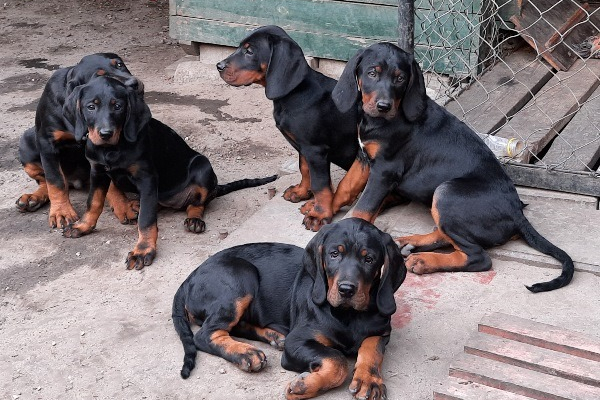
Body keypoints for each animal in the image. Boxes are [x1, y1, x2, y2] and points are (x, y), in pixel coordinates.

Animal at [16, 53, 139, 228]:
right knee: (47, 180)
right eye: (98, 77)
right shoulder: (47, 144)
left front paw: (123, 206)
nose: (134, 84)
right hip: (26, 143)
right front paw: (62, 212)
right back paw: (32, 198)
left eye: (120, 65)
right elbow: (55, 180)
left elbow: (111, 182)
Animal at [61, 74, 276, 268]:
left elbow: (146, 220)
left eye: (118, 106)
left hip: (203, 167)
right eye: (91, 106)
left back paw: (194, 220)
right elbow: (93, 202)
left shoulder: (147, 178)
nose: (105, 134)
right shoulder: (97, 172)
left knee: (197, 202)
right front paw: (83, 226)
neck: (111, 149)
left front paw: (143, 250)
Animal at [173, 217, 408, 398]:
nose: (347, 290)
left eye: (369, 259)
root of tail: (190, 277)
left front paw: (369, 380)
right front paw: (304, 386)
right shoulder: (297, 341)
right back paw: (246, 353)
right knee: (206, 334)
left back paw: (273, 337)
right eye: (334, 254)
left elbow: (372, 350)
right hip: (241, 276)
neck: (349, 315)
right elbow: (337, 360)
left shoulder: (381, 332)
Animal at [217, 25, 366, 231]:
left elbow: (321, 185)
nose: (218, 66)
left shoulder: (315, 150)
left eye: (250, 51)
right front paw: (302, 192)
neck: (294, 94)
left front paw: (319, 214)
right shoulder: (303, 146)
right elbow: (304, 169)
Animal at [330, 43, 576, 292]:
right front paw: (325, 213)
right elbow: (346, 187)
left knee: (478, 256)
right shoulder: (364, 157)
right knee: (446, 236)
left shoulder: (384, 170)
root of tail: (518, 214)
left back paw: (425, 260)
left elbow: (363, 209)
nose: (383, 106)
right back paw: (410, 243)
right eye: (372, 73)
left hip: (446, 192)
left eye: (400, 79)